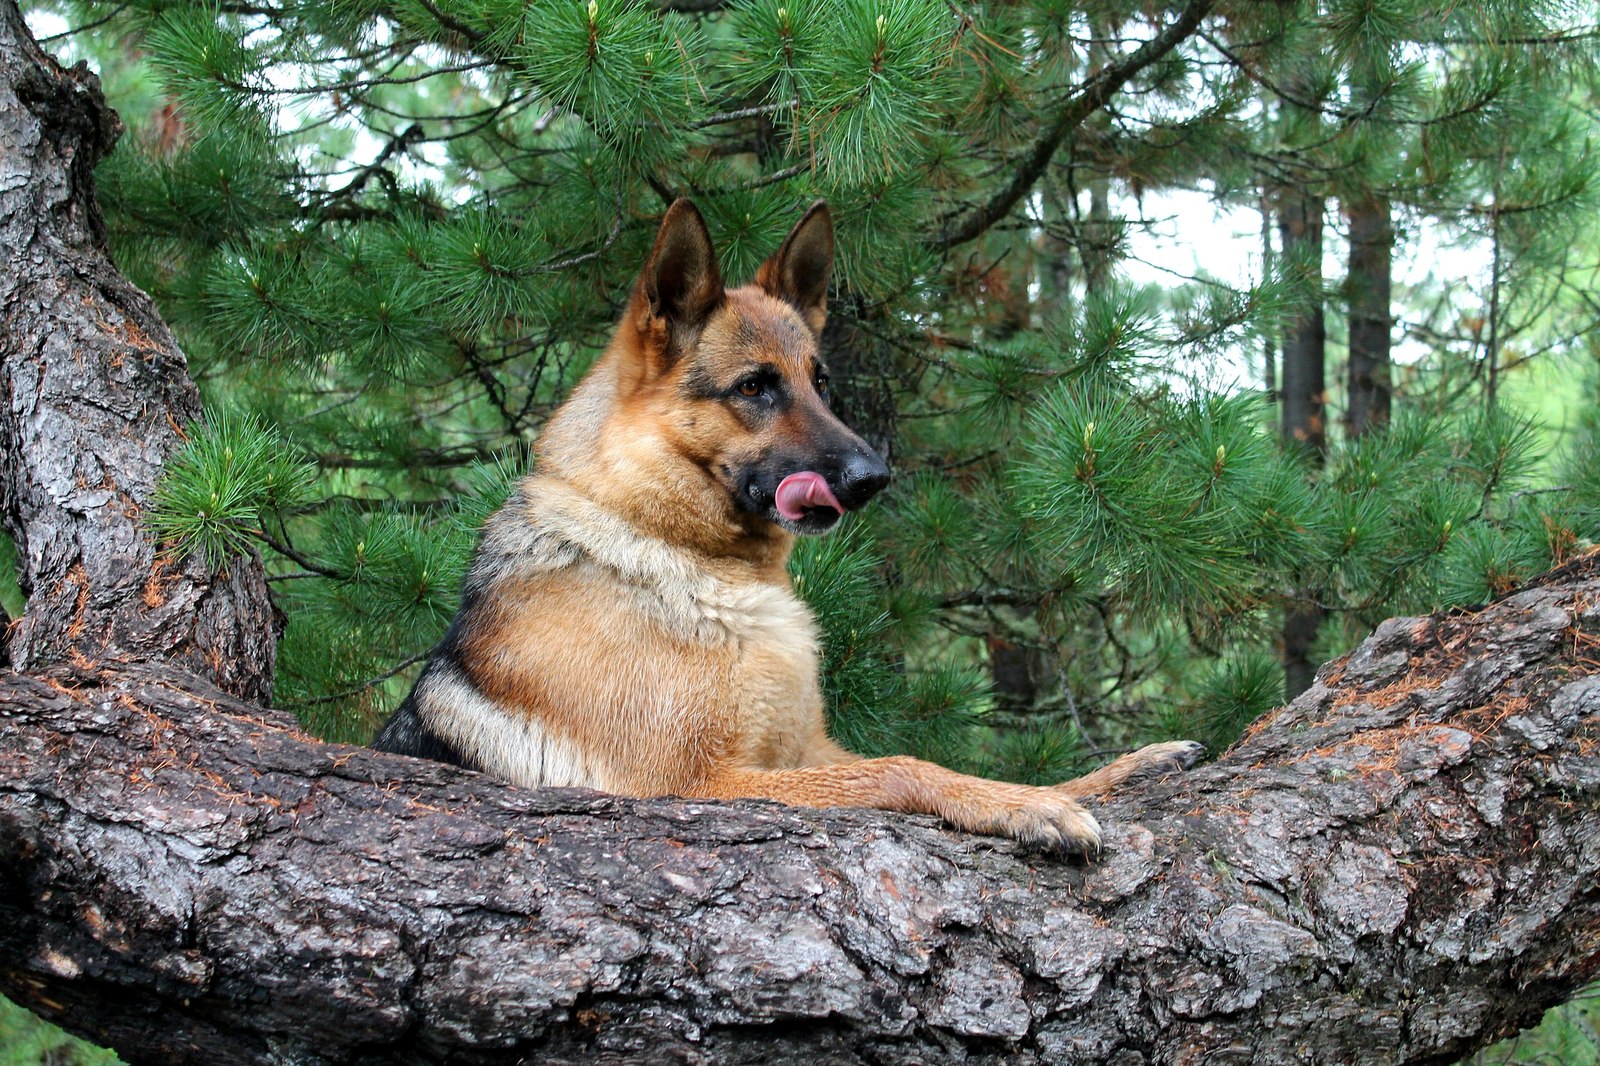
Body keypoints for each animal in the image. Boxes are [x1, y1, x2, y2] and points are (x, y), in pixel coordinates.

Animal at [374, 196, 1203, 845]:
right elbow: (901, 767)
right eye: (755, 387)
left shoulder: (806, 750)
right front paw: (1025, 806)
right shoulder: (696, 783)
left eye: (820, 381)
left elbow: (934, 759)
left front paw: (1092, 779)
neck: (689, 557)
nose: (875, 478)